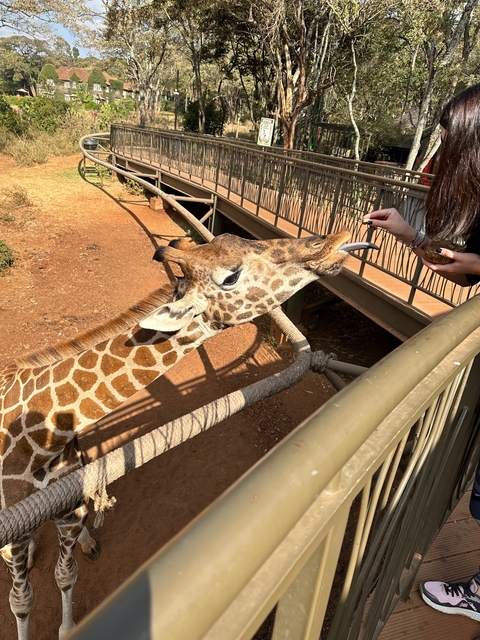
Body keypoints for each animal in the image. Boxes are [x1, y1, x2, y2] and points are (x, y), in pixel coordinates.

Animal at [0, 230, 368, 640]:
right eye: (230, 276)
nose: (338, 240)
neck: (42, 440)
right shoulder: (15, 534)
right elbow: (22, 601)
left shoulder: (65, 512)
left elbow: (65, 575)